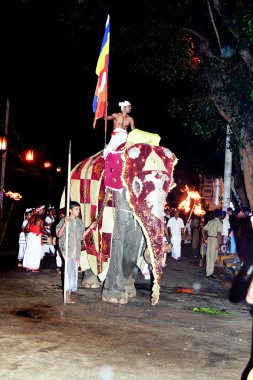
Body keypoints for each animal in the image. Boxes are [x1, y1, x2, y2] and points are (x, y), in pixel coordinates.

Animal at [60, 129, 177, 304]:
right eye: (137, 185)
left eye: (169, 186)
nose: (153, 299)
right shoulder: (112, 200)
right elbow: (116, 237)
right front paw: (115, 299)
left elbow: (134, 240)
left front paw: (129, 293)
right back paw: (90, 284)